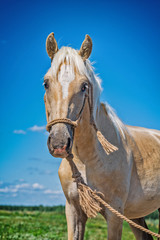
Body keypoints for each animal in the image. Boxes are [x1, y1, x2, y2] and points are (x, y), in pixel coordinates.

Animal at [43, 32, 160, 240]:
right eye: (46, 83)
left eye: (84, 86)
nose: (59, 143)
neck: (88, 159)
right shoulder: (73, 210)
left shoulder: (115, 215)